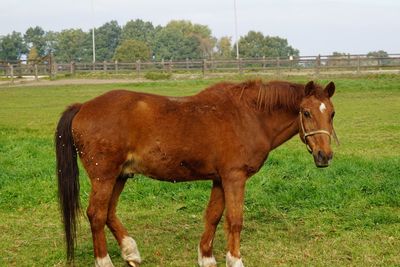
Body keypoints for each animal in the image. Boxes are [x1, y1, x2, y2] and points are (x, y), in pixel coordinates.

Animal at [55, 79, 338, 267]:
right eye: (306, 112)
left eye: (332, 114)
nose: (324, 156)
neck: (249, 116)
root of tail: (83, 107)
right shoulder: (234, 178)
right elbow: (235, 220)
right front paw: (234, 260)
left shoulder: (220, 179)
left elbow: (213, 216)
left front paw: (207, 257)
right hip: (103, 177)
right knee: (96, 215)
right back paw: (104, 260)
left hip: (120, 176)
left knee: (109, 213)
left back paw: (130, 252)